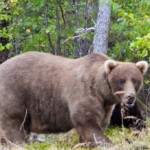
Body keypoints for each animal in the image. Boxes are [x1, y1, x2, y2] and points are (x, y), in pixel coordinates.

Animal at [0, 52, 148, 146]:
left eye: (135, 80)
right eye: (121, 80)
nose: (130, 97)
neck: (102, 91)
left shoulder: (105, 106)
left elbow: (99, 123)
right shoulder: (84, 92)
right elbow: (88, 122)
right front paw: (105, 143)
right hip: (15, 94)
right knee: (15, 124)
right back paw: (21, 143)